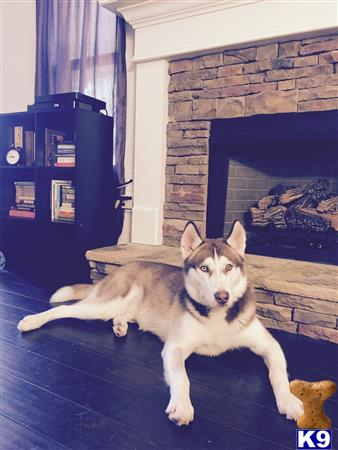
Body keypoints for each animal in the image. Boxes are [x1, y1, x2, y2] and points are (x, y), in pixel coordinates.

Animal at [17, 221, 304, 426]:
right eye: (204, 269)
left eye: (229, 267)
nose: (222, 296)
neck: (217, 317)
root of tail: (122, 267)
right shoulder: (175, 348)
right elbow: (182, 378)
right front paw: (182, 405)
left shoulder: (269, 345)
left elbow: (279, 373)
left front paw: (288, 400)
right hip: (104, 303)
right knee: (65, 309)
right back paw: (32, 320)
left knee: (119, 316)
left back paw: (120, 326)